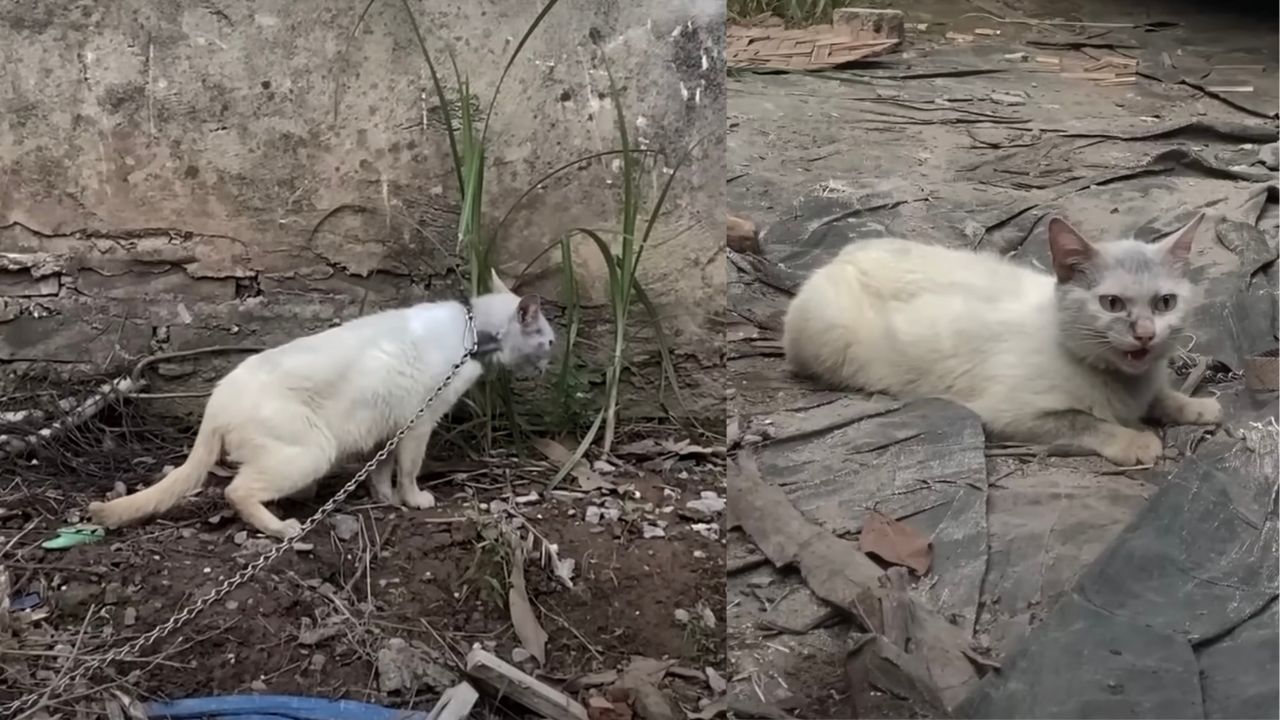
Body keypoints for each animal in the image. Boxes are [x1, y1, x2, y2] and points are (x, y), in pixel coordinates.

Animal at [88, 271, 550, 535]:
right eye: (547, 337)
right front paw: (414, 499)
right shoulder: (420, 422)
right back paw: (282, 529)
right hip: (314, 449)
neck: (473, 331)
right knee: (237, 490)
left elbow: (382, 468)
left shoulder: (390, 424)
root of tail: (215, 401)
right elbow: (409, 469)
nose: (554, 352)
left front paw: (385, 497)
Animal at [783, 211, 1223, 466]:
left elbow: (1162, 396)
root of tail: (839, 256)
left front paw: (1196, 406)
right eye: (1112, 304)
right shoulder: (1008, 414)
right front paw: (1135, 441)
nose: (1146, 335)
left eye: (1165, 303)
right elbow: (1084, 421)